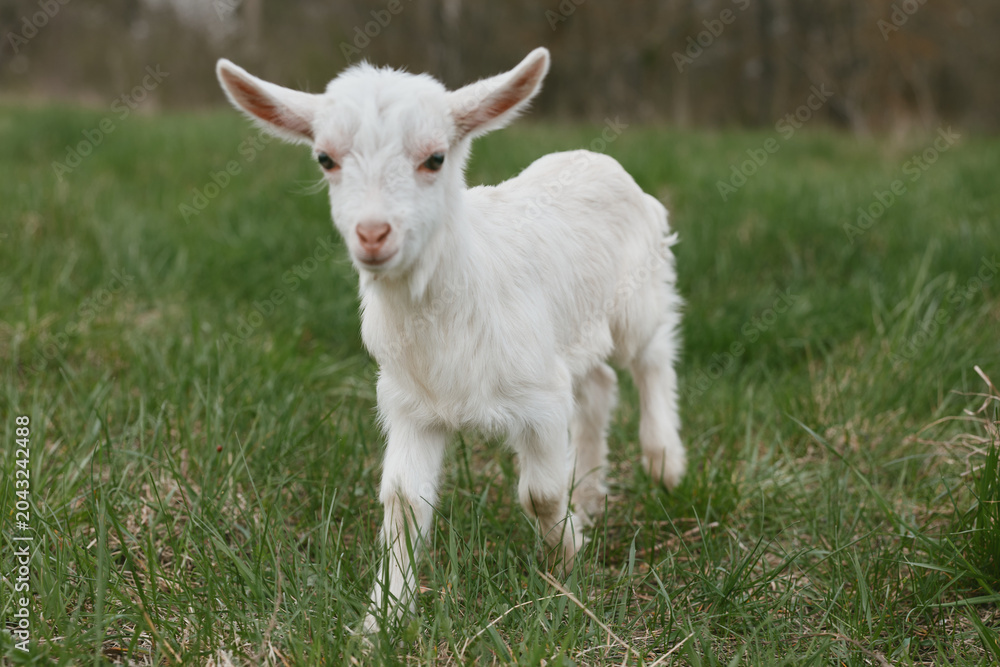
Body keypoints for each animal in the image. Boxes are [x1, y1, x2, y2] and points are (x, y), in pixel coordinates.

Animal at [216, 47, 685, 632]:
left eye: (435, 159)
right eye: (325, 159)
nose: (373, 235)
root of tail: (593, 157)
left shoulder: (540, 397)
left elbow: (541, 492)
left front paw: (567, 561)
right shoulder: (410, 404)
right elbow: (404, 503)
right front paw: (382, 622)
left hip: (638, 292)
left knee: (651, 356)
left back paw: (664, 462)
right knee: (598, 383)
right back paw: (595, 493)